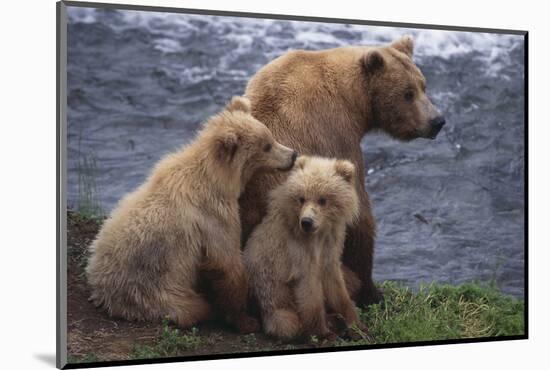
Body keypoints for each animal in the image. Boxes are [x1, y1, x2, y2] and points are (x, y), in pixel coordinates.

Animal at [239, 36, 446, 304]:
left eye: (424, 86)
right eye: (407, 93)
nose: (437, 121)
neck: (353, 101)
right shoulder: (336, 135)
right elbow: (358, 217)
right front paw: (374, 292)